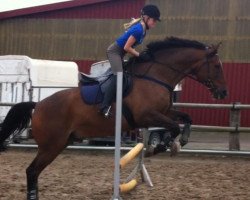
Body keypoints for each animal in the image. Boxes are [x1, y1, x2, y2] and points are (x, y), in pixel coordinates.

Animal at [0, 36, 227, 199]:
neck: (155, 77)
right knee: (31, 171)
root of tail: (38, 105)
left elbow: (186, 118)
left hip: (60, 143)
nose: (223, 93)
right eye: (217, 66)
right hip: (51, 145)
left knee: (34, 171)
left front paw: (180, 142)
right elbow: (173, 127)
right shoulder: (146, 116)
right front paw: (159, 148)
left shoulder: (162, 112)